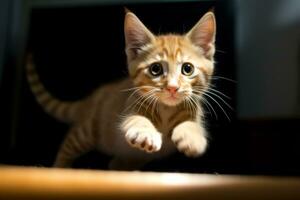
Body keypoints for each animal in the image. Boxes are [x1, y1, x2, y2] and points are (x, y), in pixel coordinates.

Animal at [26, 10, 216, 170]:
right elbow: (136, 120)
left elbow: (192, 124)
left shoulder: (194, 111)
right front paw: (145, 133)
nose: (172, 87)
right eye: (155, 69)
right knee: (68, 144)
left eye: (187, 69)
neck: (166, 110)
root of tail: (92, 99)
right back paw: (59, 167)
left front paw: (192, 137)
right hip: (88, 130)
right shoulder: (129, 108)